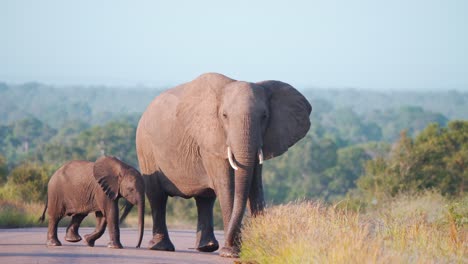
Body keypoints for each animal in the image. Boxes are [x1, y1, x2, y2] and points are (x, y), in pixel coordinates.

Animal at [137, 71, 312, 256]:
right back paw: (161, 247)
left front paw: (260, 246)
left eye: (264, 116)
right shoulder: (210, 138)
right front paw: (231, 252)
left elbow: (255, 185)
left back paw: (207, 247)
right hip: (146, 148)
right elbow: (226, 185)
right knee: (156, 195)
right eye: (224, 116)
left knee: (205, 199)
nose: (230, 245)